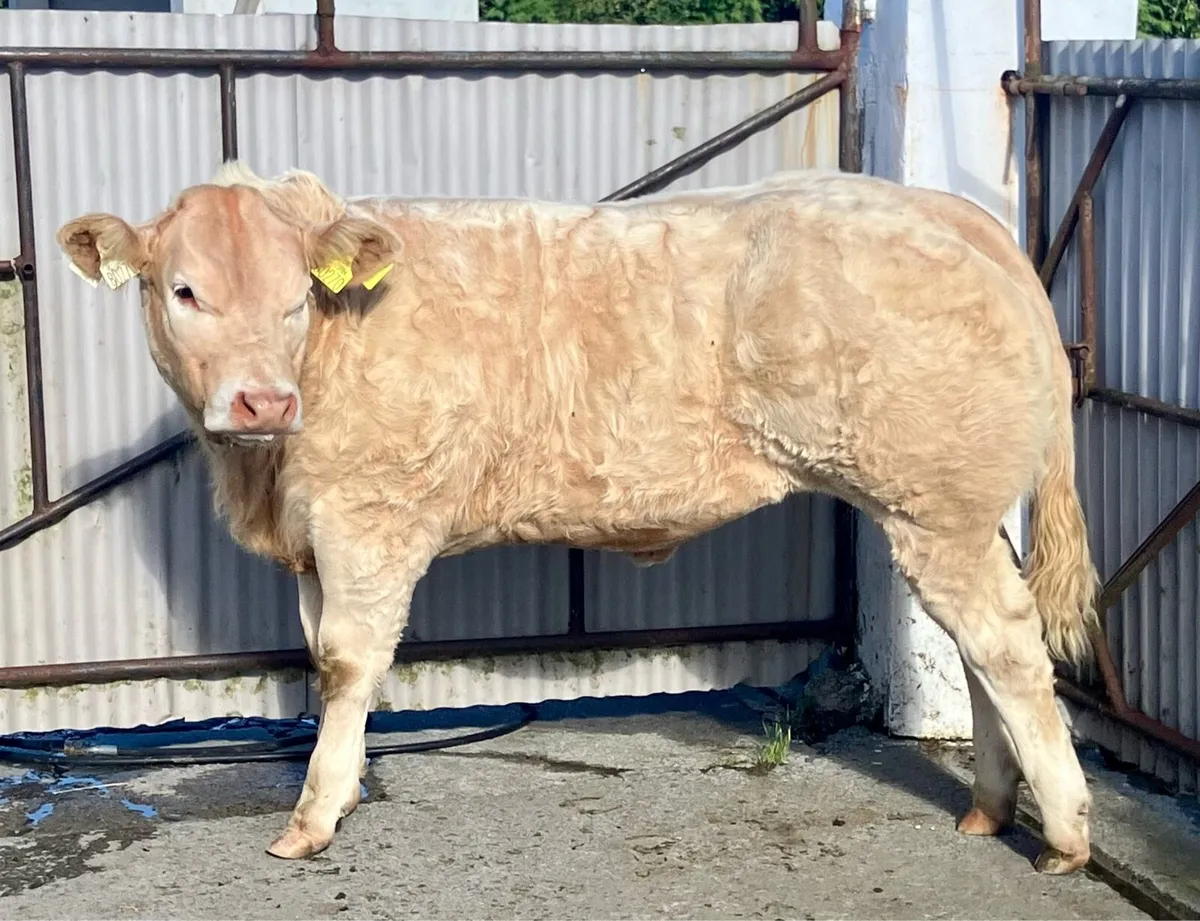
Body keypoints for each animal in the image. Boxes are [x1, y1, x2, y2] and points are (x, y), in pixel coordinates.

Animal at [57, 162, 1100, 874]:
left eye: (294, 299)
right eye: (184, 289)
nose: (263, 401)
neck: (267, 475)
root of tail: (940, 207)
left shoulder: (371, 515)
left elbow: (347, 663)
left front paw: (313, 817)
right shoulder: (317, 538)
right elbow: (319, 655)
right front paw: (339, 793)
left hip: (934, 505)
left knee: (1007, 647)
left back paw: (1063, 835)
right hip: (949, 512)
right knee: (978, 650)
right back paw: (990, 807)